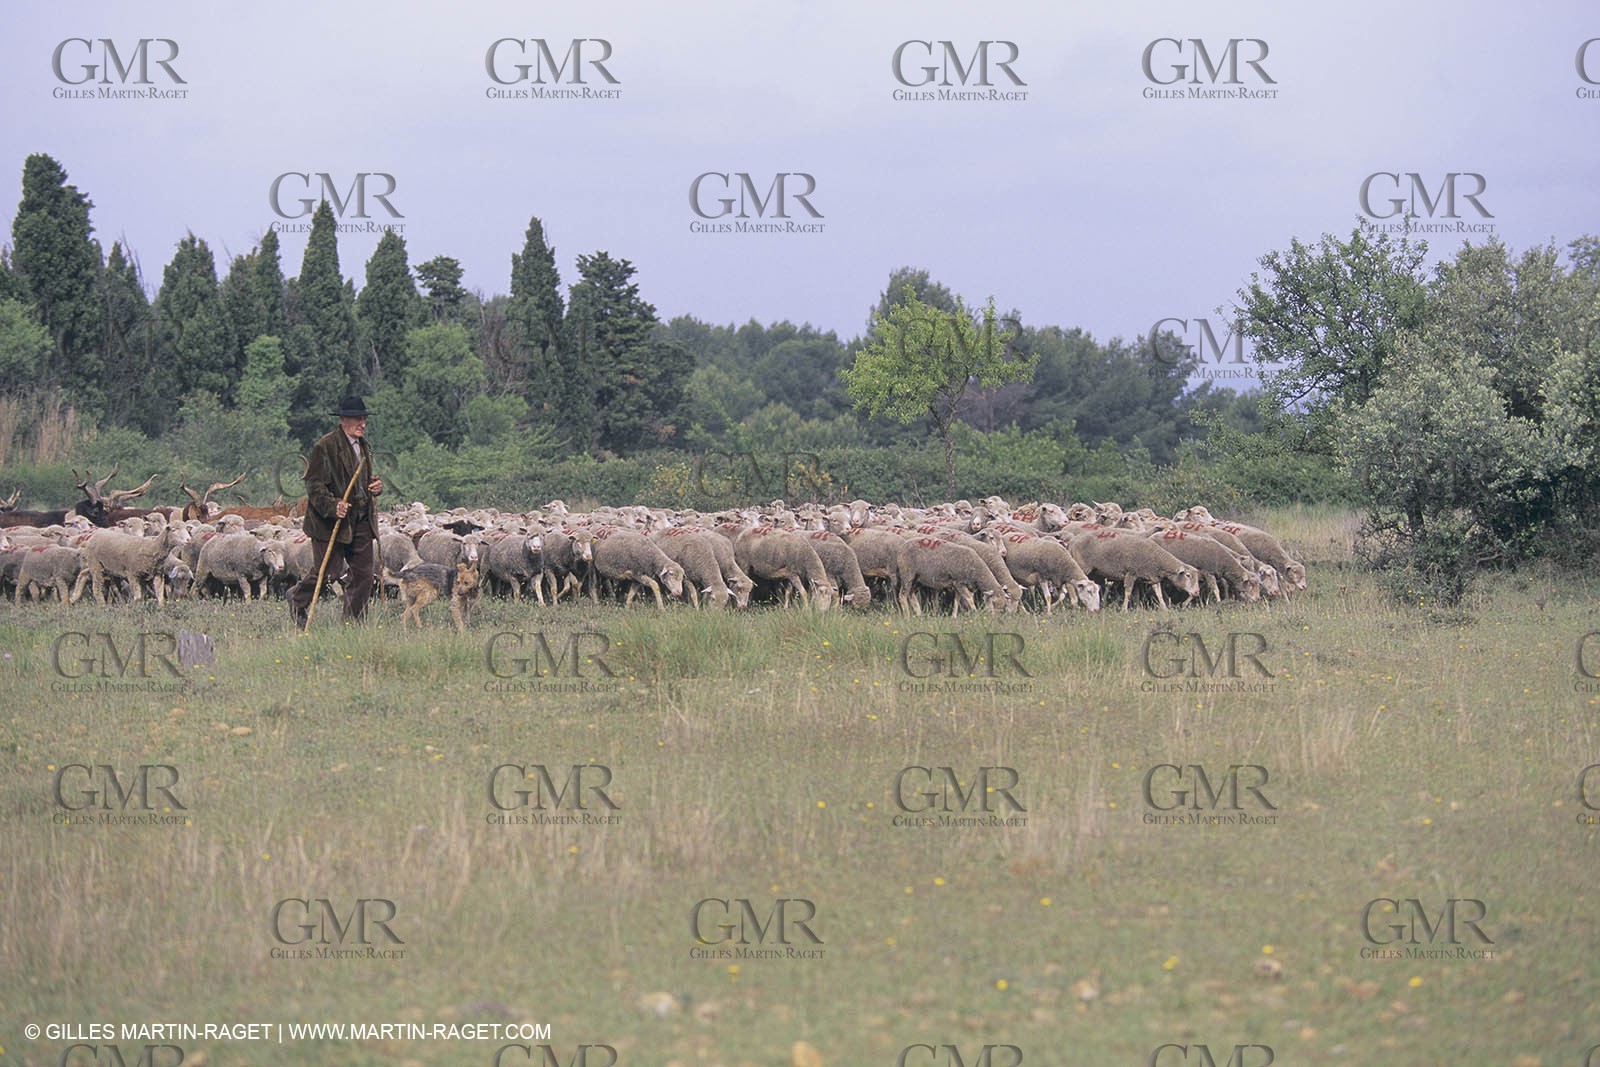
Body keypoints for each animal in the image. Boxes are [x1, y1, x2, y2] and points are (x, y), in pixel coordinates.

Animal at [1067, 530, 1200, 610]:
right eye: (1188, 575)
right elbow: (1128, 592)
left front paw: (1163, 609)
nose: (1196, 592)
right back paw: (1075, 604)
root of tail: (1073, 541)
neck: (1156, 558)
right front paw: (1124, 610)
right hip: (1081, 566)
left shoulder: (1149, 577)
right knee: (1072, 584)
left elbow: (1154, 593)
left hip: (1094, 572)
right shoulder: (1130, 573)